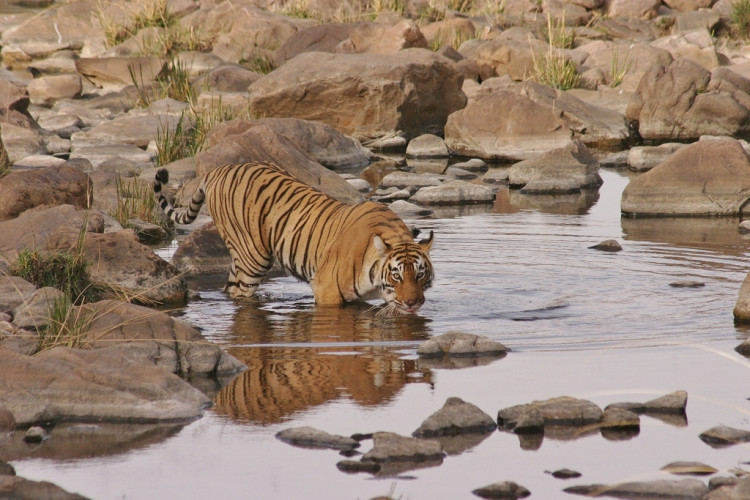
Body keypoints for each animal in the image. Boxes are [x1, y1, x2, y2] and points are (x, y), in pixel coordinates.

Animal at [153, 162, 434, 314]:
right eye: (396, 276)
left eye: (420, 274)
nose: (412, 303)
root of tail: (218, 170)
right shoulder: (327, 290)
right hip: (254, 258)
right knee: (240, 291)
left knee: (229, 289)